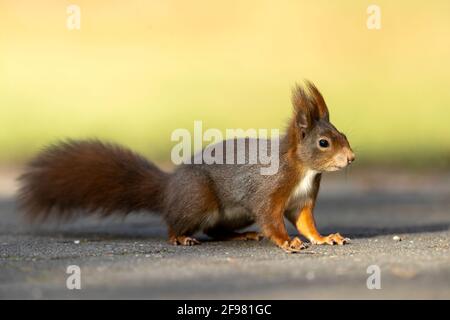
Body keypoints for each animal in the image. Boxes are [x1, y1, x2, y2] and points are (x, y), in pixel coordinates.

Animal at [17, 82, 356, 252]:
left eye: (344, 135)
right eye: (324, 142)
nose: (351, 158)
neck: (303, 169)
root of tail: (168, 189)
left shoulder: (302, 201)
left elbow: (306, 223)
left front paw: (325, 238)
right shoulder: (269, 192)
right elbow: (271, 220)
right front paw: (287, 242)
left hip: (232, 213)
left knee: (214, 230)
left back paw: (240, 237)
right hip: (198, 198)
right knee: (177, 225)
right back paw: (180, 238)